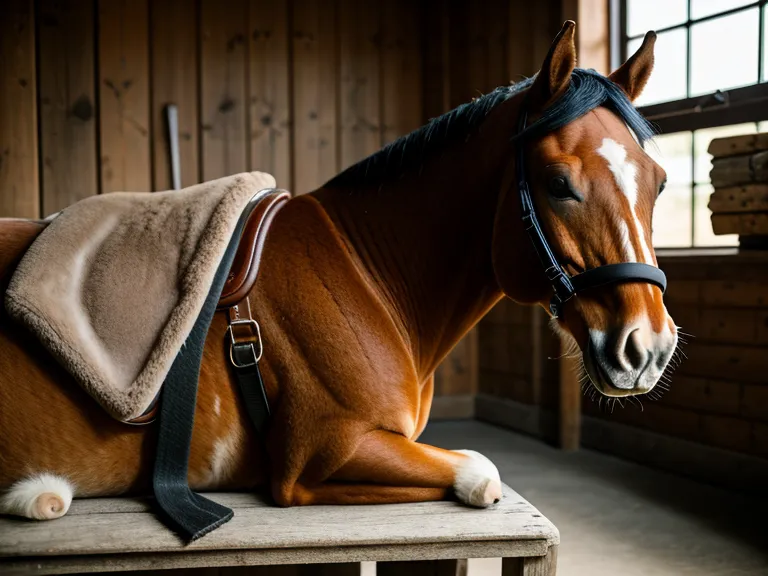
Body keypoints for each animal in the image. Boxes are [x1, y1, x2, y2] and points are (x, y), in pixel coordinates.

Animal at [0, 21, 677, 522]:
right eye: (559, 184)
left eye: (660, 184)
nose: (648, 347)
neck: (368, 274)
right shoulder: (321, 458)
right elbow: (480, 469)